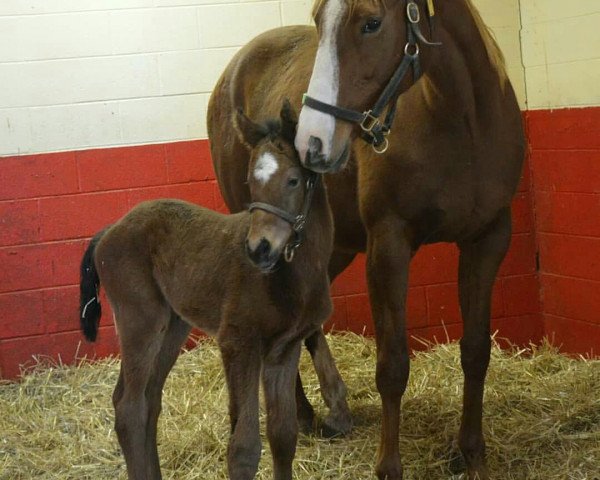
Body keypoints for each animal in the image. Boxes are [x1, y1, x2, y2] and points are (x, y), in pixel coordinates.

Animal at [77, 102, 336, 480]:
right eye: (250, 182)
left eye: (293, 180)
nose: (259, 249)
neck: (290, 278)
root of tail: (109, 230)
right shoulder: (238, 343)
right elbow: (244, 448)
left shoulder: (285, 348)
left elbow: (283, 435)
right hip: (140, 320)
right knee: (129, 408)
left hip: (173, 325)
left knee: (149, 400)